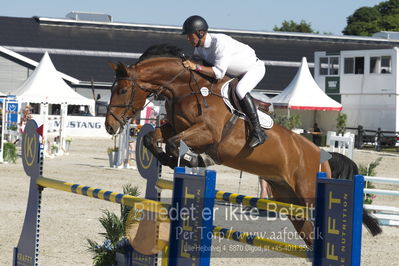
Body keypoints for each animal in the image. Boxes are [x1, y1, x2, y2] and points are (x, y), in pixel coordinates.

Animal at [104, 44, 378, 248]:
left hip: (307, 194)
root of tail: (322, 155)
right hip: (291, 202)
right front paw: (173, 160)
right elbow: (152, 138)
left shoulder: (207, 133)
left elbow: (173, 143)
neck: (185, 88)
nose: (109, 125)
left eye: (123, 90)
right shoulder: (174, 127)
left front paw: (192, 159)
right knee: (310, 236)